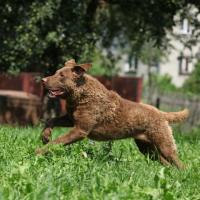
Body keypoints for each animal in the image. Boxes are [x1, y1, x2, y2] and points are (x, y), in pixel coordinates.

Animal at [36, 58, 189, 168]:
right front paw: (45, 135)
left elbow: (57, 141)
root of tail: (162, 114)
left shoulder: (80, 130)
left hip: (164, 145)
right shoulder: (70, 119)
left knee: (180, 163)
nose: (43, 80)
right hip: (147, 148)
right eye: (56, 72)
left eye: (61, 75)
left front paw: (38, 152)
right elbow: (51, 120)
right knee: (166, 163)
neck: (81, 95)